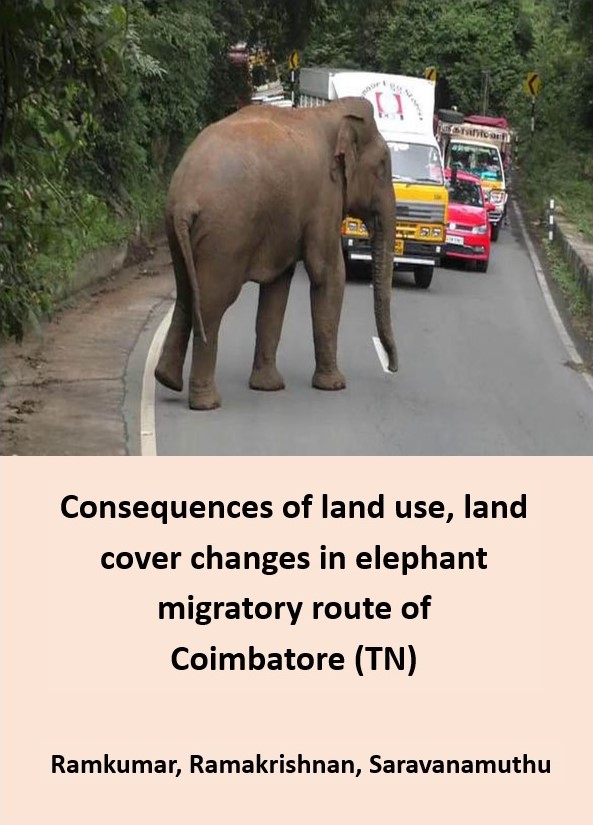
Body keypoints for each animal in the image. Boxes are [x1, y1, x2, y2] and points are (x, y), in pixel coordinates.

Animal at [155, 97, 398, 410]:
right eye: (382, 166)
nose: (392, 367)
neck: (329, 112)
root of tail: (186, 198)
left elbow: (277, 286)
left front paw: (268, 387)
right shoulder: (324, 199)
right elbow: (328, 274)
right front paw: (334, 385)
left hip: (175, 230)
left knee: (186, 294)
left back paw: (167, 380)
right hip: (224, 236)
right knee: (211, 305)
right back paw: (206, 403)